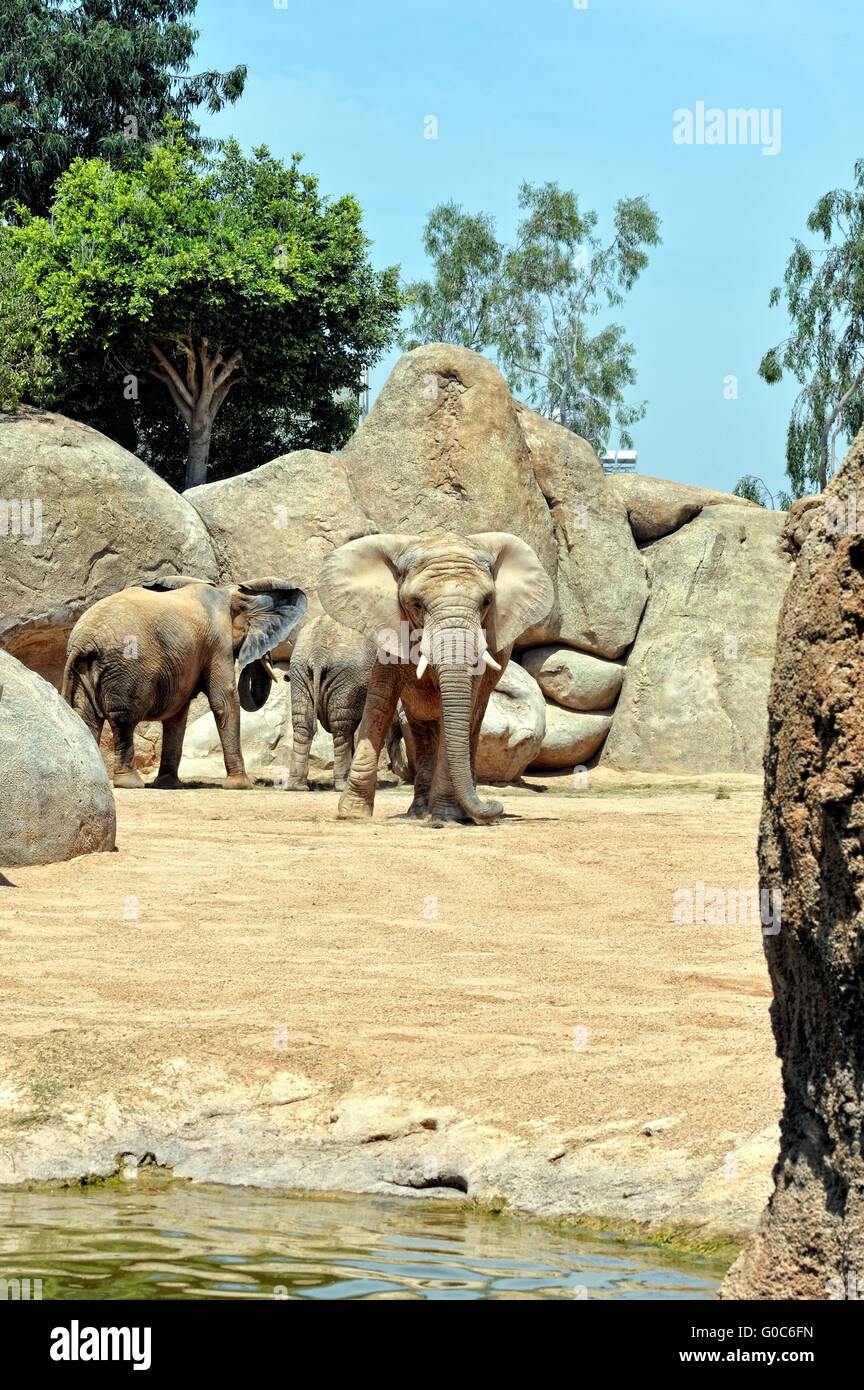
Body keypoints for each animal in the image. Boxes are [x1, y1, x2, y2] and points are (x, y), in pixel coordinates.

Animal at [63, 575, 308, 789]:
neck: (228, 593)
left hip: (84, 669)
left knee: (86, 718)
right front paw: (241, 785)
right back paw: (130, 783)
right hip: (124, 668)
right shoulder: (218, 642)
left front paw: (168, 785)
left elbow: (177, 715)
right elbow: (224, 701)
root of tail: (84, 641)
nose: (281, 674)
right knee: (123, 720)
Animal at [286, 619, 405, 795]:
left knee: (303, 724)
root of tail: (317, 655)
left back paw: (297, 787)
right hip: (348, 677)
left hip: (300, 673)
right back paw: (342, 785)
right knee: (342, 728)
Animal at [318, 525, 555, 817]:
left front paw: (446, 816)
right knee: (421, 729)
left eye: (487, 602)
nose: (496, 806)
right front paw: (351, 814)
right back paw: (419, 812)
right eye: (416, 604)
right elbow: (379, 700)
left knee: (469, 723)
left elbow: (459, 712)